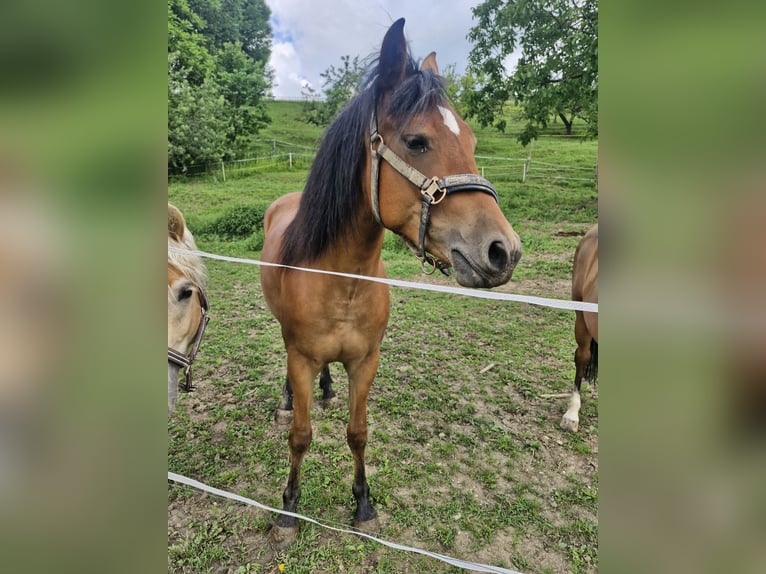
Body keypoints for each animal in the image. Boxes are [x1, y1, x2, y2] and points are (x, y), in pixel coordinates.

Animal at [259, 18, 522, 549]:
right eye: (417, 141)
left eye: (472, 140)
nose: (503, 251)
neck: (341, 282)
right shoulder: (300, 356)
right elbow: (300, 437)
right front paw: (288, 511)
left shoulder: (366, 362)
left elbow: (358, 433)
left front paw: (363, 505)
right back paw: (287, 402)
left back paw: (326, 390)